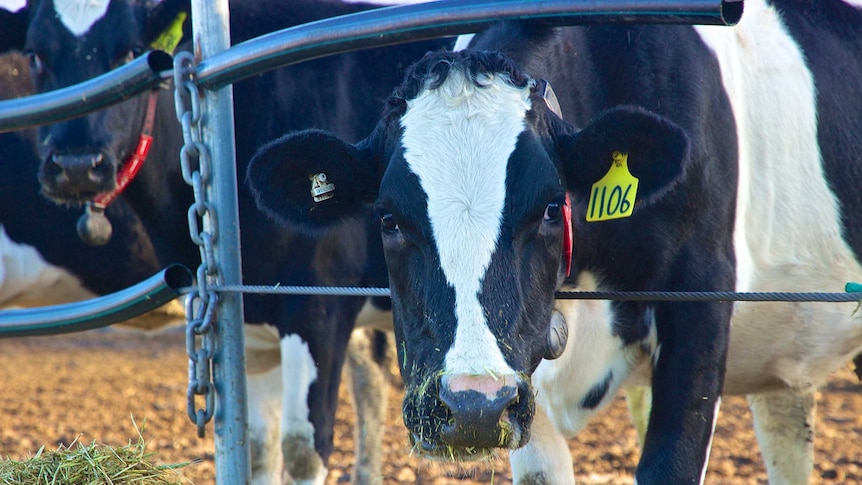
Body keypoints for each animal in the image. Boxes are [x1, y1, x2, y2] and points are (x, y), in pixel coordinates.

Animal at [0, 1, 452, 482]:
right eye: (34, 55)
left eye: (131, 50)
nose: (76, 166)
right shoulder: (255, 319)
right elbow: (259, 449)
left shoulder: (319, 306)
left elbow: (303, 449)